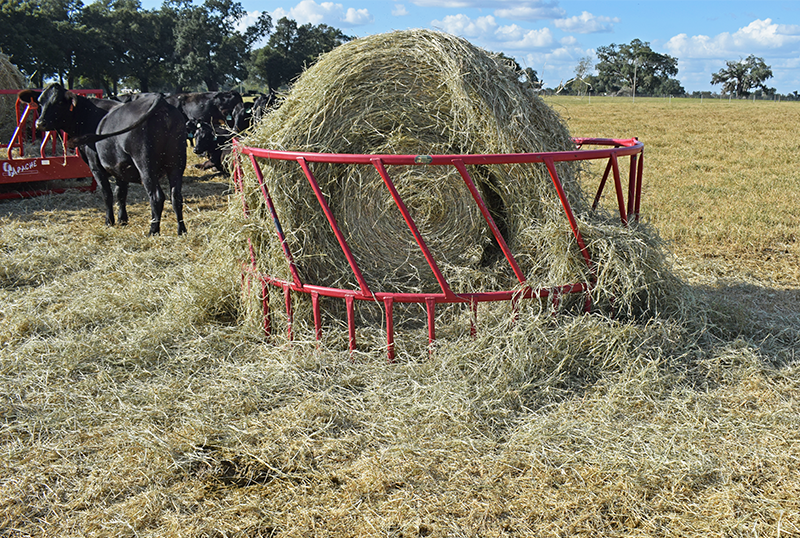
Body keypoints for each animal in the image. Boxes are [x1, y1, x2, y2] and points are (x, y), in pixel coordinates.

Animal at [34, 81, 188, 234]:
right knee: (176, 196)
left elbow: (107, 194)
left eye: (59, 102)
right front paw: (122, 220)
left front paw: (109, 221)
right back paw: (181, 230)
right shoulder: (120, 167)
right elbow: (120, 193)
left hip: (146, 165)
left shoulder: (96, 167)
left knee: (156, 196)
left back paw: (153, 231)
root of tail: (162, 103)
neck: (86, 116)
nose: (40, 123)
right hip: (177, 163)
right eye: (40, 101)